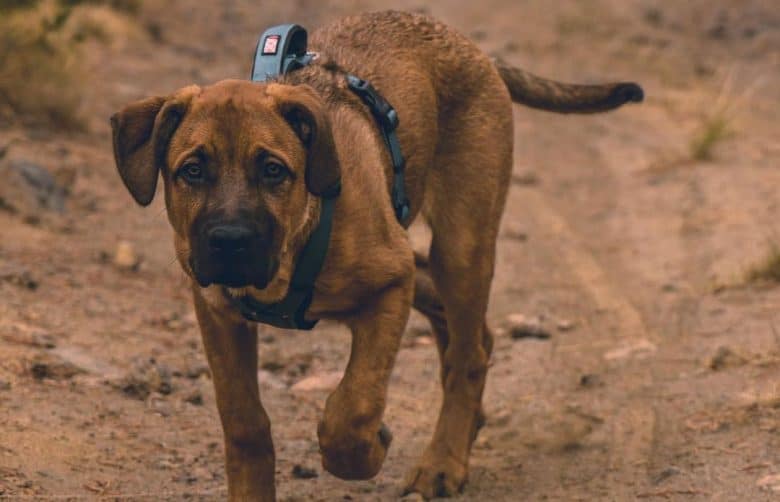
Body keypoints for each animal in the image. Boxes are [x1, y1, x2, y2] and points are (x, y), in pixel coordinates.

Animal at [109, 9, 644, 500]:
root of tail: (473, 50)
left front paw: (366, 449)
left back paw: (443, 463)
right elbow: (244, 422)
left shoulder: (388, 286)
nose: (229, 241)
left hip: (461, 245)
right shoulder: (218, 311)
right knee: (468, 333)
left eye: (273, 170)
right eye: (192, 170)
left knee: (467, 354)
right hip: (425, 261)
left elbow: (352, 409)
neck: (291, 255)